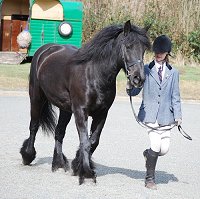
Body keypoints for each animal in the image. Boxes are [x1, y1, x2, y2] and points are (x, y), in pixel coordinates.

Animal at [21, 20, 151, 183]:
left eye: (144, 49)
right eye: (128, 46)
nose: (138, 79)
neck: (95, 74)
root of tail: (45, 50)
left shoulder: (102, 114)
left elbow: (93, 141)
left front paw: (78, 165)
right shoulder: (81, 111)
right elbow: (85, 141)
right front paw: (87, 173)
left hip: (65, 108)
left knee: (59, 132)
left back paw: (58, 164)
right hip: (36, 98)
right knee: (34, 126)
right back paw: (28, 155)